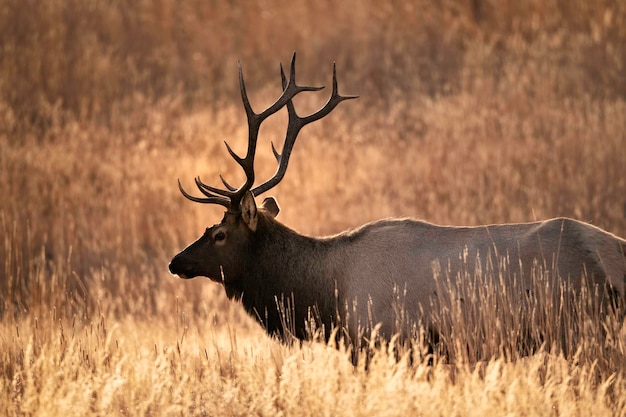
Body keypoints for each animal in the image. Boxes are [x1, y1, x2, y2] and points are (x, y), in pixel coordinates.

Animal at [168, 52, 620, 358]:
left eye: (218, 233)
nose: (176, 262)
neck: (327, 298)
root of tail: (616, 256)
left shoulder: (387, 341)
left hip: (578, 327)